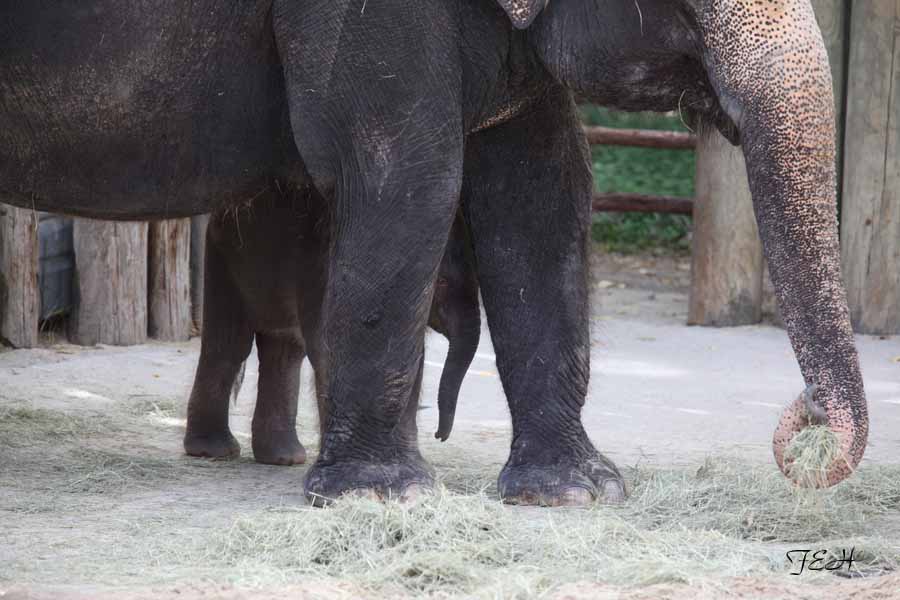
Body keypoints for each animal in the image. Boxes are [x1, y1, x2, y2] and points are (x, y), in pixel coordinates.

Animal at [184, 184, 480, 465]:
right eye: (441, 283)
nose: (440, 436)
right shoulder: (323, 274)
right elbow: (329, 349)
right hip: (224, 259)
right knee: (230, 345)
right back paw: (214, 451)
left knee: (284, 353)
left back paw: (285, 458)